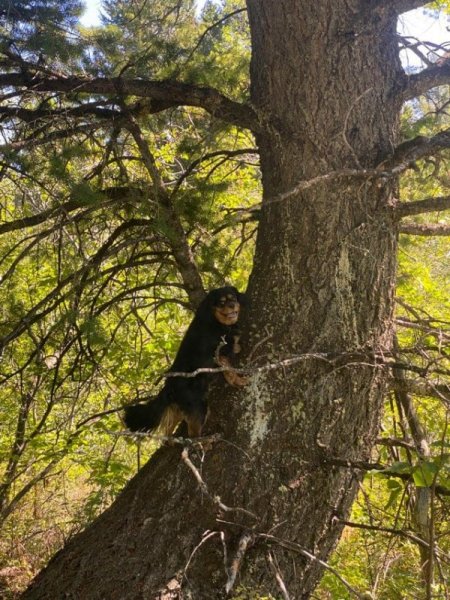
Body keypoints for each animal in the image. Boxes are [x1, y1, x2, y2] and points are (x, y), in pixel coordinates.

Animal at [125, 286, 248, 436]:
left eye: (233, 298)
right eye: (221, 302)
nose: (232, 305)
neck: (214, 320)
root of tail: (169, 385)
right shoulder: (219, 354)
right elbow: (229, 371)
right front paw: (239, 381)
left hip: (178, 410)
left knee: (168, 431)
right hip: (199, 407)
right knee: (192, 435)